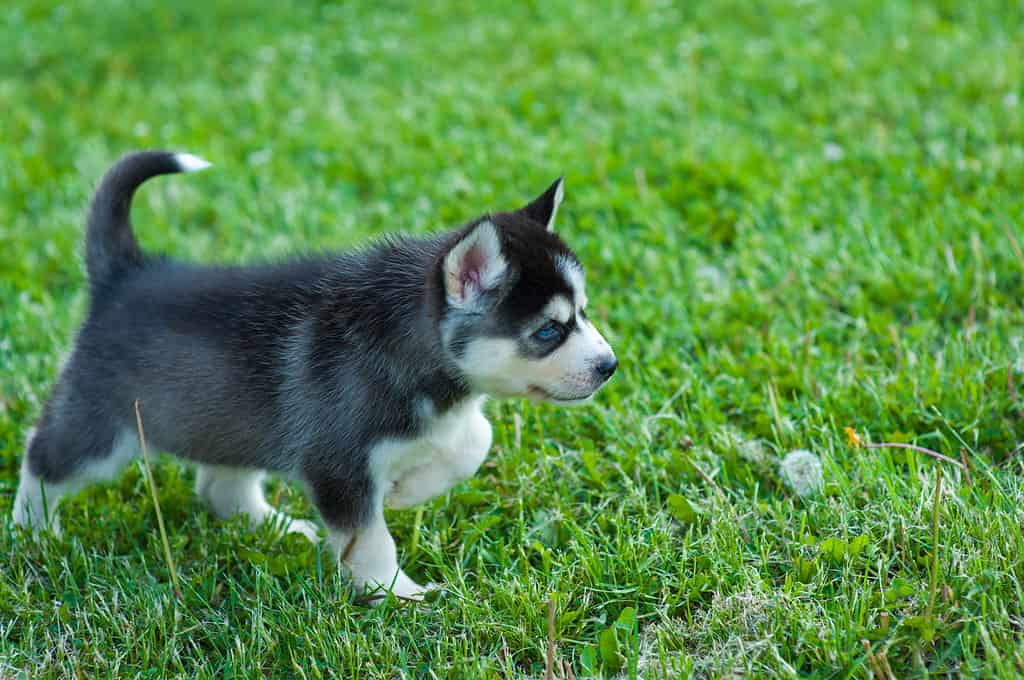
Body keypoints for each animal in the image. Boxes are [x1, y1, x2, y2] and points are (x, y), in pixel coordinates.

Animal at [12, 150, 614, 602]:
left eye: (583, 312)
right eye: (548, 331)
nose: (609, 367)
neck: (408, 346)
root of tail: (126, 274)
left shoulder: (443, 419)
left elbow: (476, 439)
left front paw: (409, 490)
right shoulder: (339, 466)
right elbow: (371, 538)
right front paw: (397, 594)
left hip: (232, 422)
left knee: (219, 487)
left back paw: (274, 527)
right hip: (101, 430)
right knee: (42, 456)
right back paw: (33, 534)